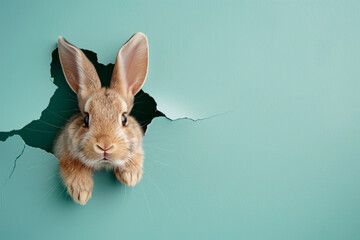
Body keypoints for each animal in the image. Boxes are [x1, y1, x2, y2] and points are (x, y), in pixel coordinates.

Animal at [52, 32, 148, 205]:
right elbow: (71, 164)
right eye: (86, 119)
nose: (105, 145)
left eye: (124, 119)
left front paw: (130, 176)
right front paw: (81, 192)